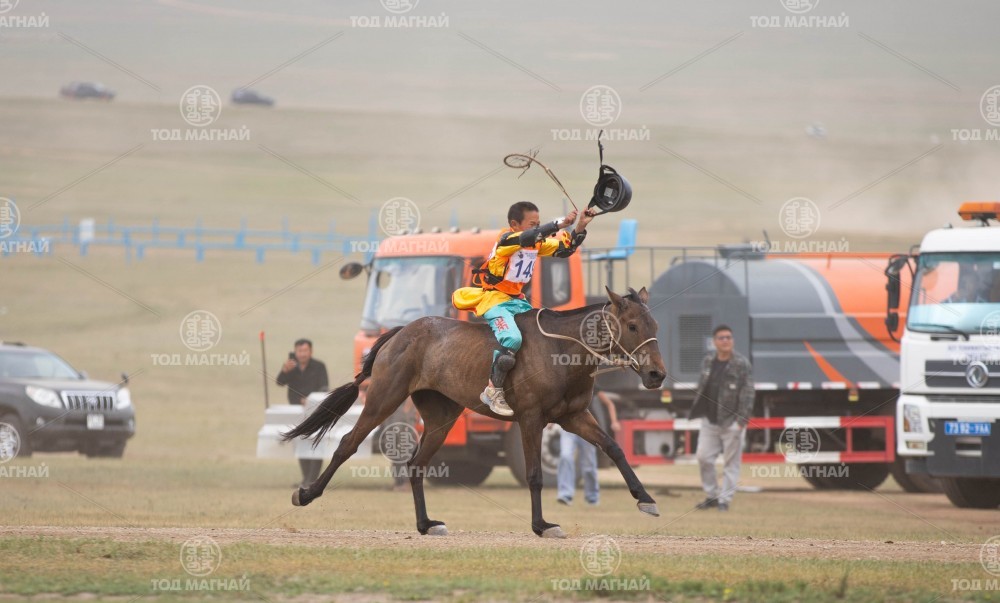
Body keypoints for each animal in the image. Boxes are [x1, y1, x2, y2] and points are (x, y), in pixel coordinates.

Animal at [282, 286, 666, 538]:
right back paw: (306, 494)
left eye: (655, 327)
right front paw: (541, 525)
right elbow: (535, 474)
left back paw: (425, 524)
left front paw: (645, 499)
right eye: (632, 326)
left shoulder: (574, 417)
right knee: (348, 443)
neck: (561, 349)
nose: (656, 374)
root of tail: (401, 332)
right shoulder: (530, 420)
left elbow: (614, 448)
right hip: (383, 399)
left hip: (441, 417)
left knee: (417, 464)